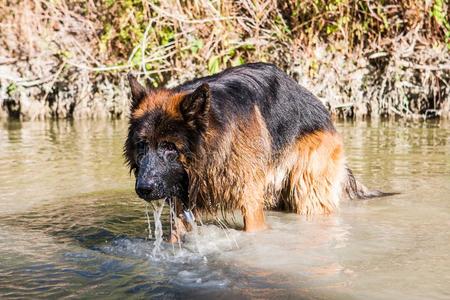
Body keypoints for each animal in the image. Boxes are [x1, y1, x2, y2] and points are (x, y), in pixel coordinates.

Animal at [124, 62, 386, 240]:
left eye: (170, 147)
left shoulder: (249, 200)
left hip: (307, 188)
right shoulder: (181, 203)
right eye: (142, 144)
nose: (143, 188)